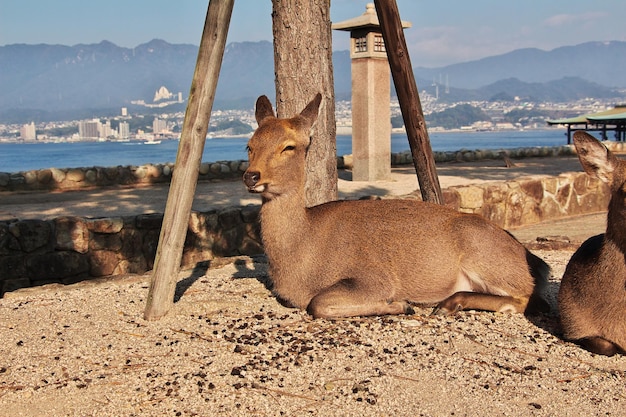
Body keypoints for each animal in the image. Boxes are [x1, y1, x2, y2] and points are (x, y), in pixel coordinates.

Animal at [243, 93, 544, 318]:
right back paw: (449, 303)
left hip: (485, 254)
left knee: (524, 297)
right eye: (250, 145)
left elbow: (317, 303)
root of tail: (528, 257)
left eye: (288, 146)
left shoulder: (374, 278)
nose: (251, 176)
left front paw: (401, 304)